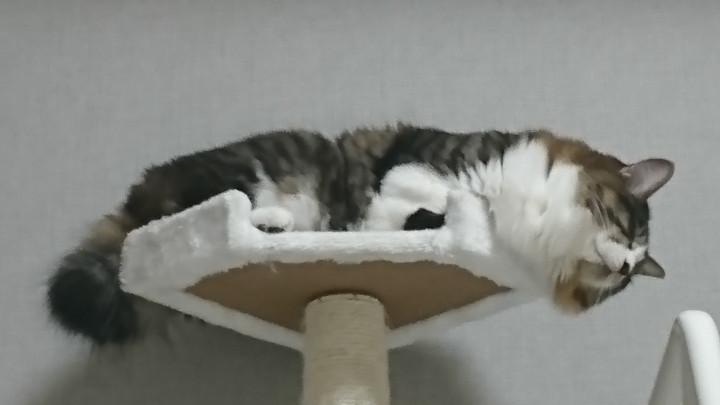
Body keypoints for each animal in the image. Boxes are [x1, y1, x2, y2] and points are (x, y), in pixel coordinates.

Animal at [47, 124, 674, 345]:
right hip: (252, 175)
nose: (623, 265)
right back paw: (268, 224)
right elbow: (430, 200)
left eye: (623, 285)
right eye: (627, 227)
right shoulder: (426, 165)